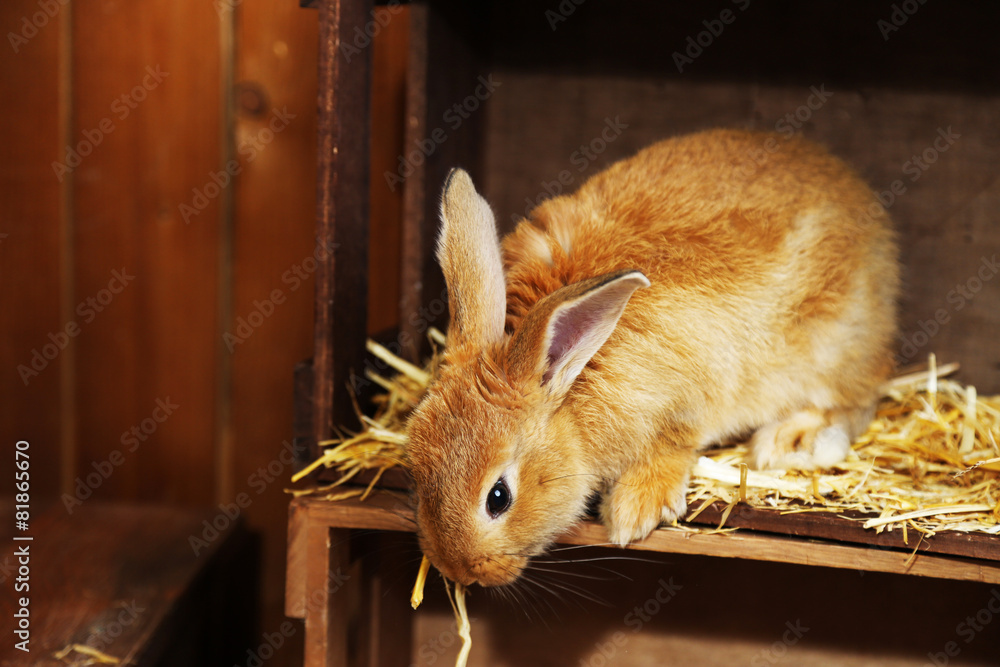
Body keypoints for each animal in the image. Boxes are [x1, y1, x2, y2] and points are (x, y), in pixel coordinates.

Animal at [404, 128, 899, 588]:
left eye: (498, 497)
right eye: (416, 468)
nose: (458, 571)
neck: (571, 379)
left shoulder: (690, 394)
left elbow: (672, 445)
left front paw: (634, 511)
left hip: (831, 346)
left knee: (857, 400)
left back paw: (792, 441)